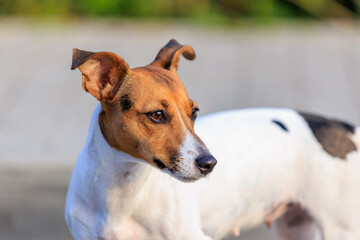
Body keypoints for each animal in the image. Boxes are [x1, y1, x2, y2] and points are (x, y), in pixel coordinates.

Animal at [65, 38, 360, 239]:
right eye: (157, 115)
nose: (209, 164)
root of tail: (339, 126)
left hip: (340, 229)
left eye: (194, 112)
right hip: (296, 227)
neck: (124, 193)